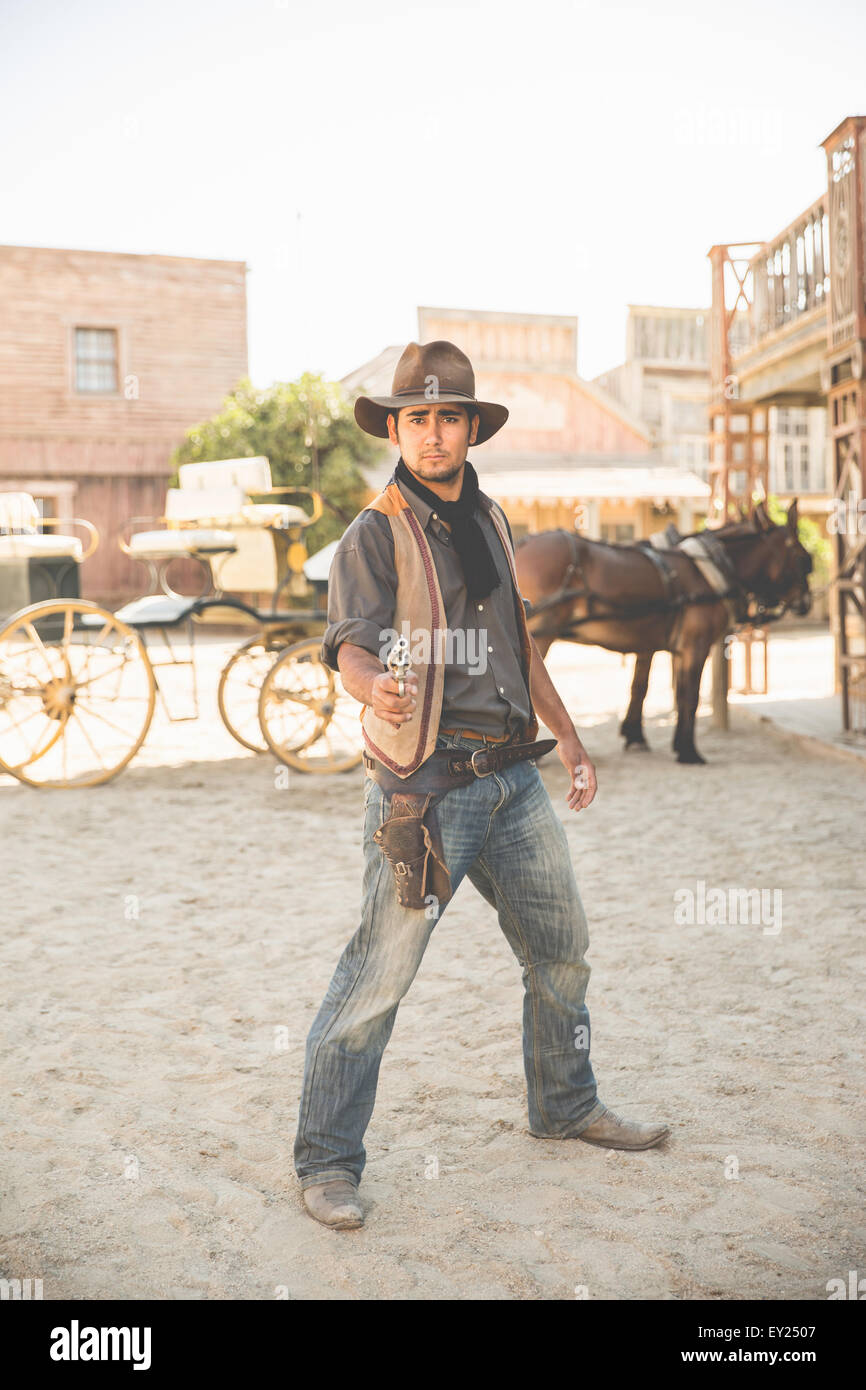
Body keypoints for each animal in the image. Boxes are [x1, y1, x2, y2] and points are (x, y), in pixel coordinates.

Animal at [517, 497, 817, 767]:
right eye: (803, 558)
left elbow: (659, 689)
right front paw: (688, 751)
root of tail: (523, 542)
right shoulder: (695, 646)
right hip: (541, 636)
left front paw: (658, 740)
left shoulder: (669, 647)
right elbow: (689, 696)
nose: (806, 601)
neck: (707, 569)